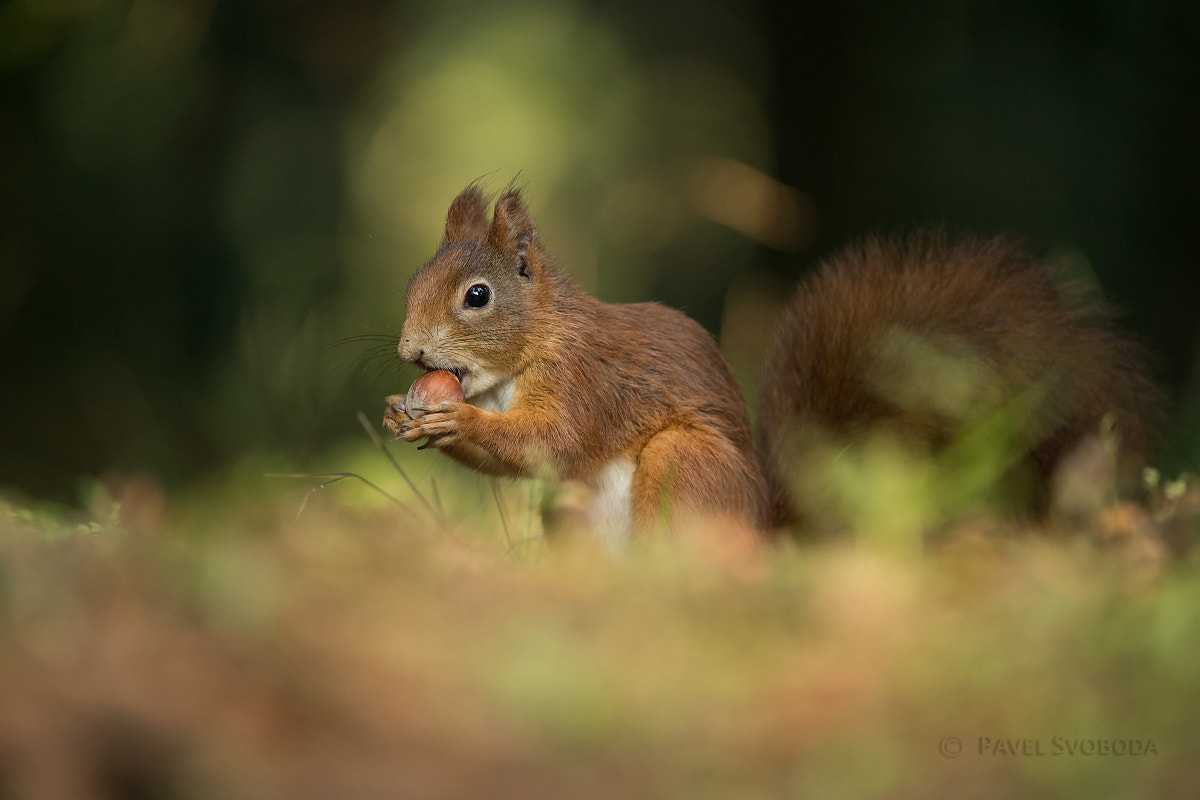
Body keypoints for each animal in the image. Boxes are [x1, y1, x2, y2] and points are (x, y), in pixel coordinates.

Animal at [383, 184, 1162, 543]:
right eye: (414, 280)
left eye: (477, 296)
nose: (410, 353)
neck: (531, 352)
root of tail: (765, 532)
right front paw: (402, 412)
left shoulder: (588, 381)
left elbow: (552, 439)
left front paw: (451, 421)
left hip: (688, 466)